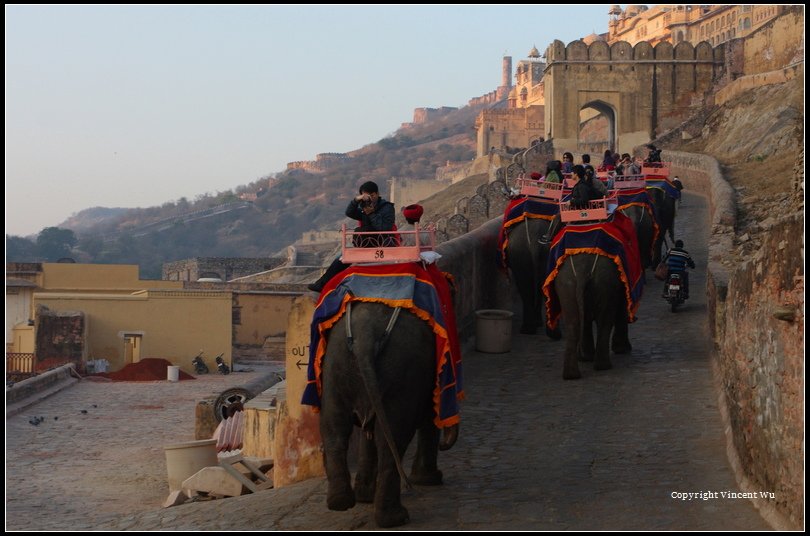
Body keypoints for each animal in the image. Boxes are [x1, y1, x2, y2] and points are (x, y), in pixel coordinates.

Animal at [316, 302, 458, 528]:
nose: (445, 445)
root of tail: (365, 335)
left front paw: (364, 496)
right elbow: (429, 416)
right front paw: (429, 480)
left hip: (334, 369)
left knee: (334, 428)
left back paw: (341, 501)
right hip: (400, 374)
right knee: (392, 439)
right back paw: (395, 518)